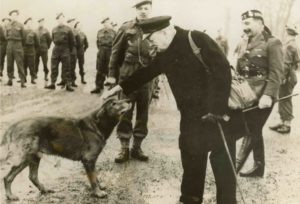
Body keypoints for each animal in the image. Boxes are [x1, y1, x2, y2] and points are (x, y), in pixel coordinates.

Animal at [0, 97, 131, 201]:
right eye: (114, 103)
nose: (129, 100)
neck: (97, 124)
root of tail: (14, 126)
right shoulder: (88, 160)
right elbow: (93, 178)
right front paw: (98, 192)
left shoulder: (91, 161)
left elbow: (95, 175)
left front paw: (100, 187)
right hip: (24, 157)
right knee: (8, 177)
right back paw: (10, 196)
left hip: (34, 157)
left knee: (31, 176)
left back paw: (44, 190)